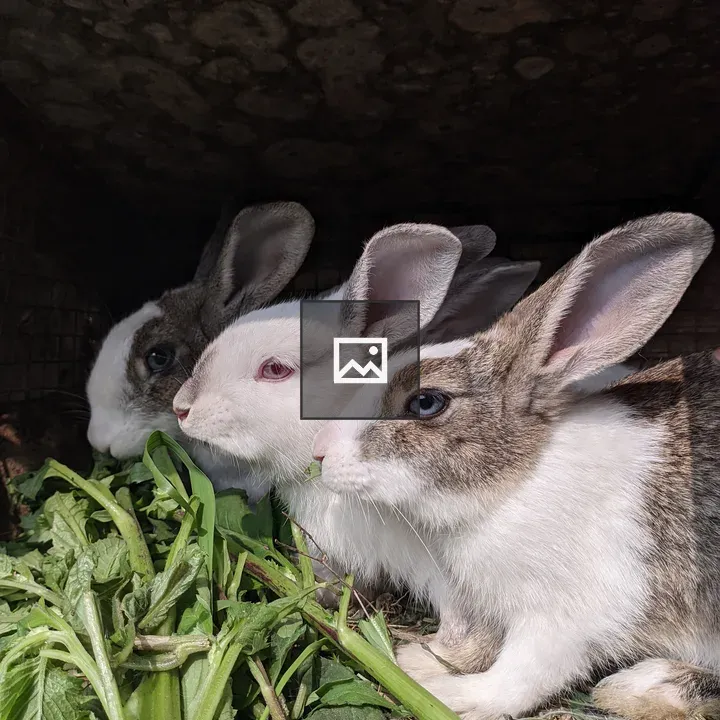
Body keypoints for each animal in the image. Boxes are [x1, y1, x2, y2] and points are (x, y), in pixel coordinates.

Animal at [309, 211, 720, 720]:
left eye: (425, 402)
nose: (320, 451)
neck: (515, 482)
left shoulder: (565, 616)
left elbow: (523, 674)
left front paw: (449, 694)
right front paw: (423, 660)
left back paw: (636, 688)